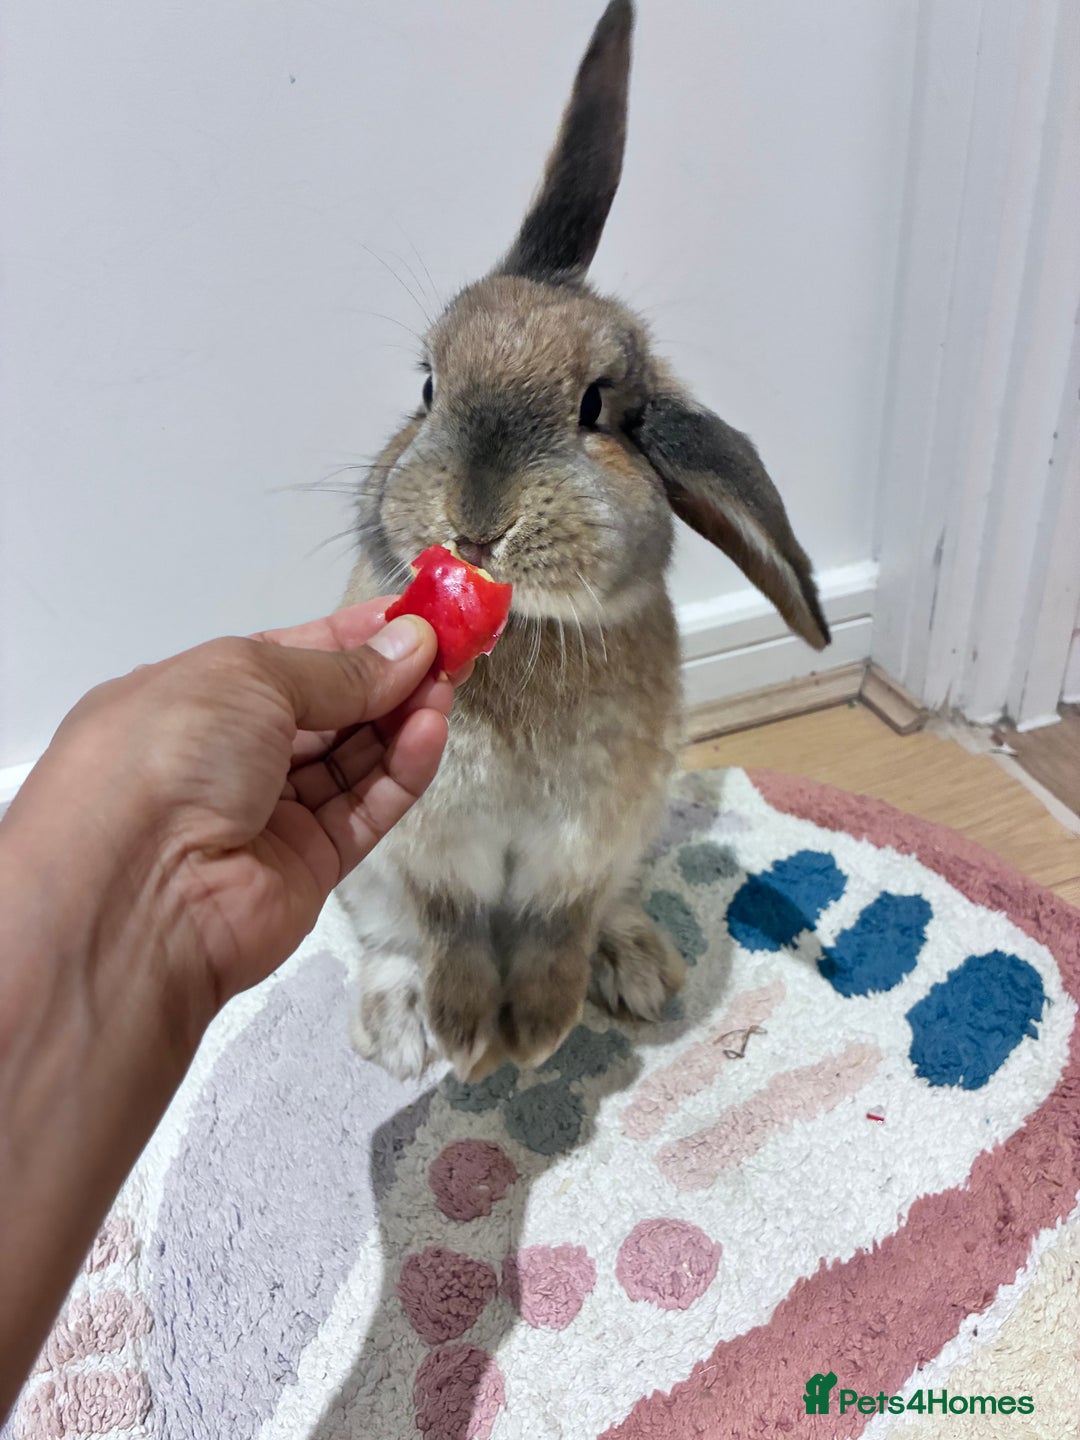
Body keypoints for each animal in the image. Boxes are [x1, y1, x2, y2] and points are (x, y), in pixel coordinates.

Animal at [336, 0, 830, 1083]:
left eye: (597, 408)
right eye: (427, 386)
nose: (477, 518)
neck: (524, 632)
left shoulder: (583, 846)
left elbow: (556, 926)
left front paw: (539, 1029)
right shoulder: (434, 848)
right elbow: (451, 927)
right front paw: (469, 1038)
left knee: (605, 914)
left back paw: (639, 970)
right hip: (365, 872)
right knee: (385, 940)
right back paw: (398, 1030)